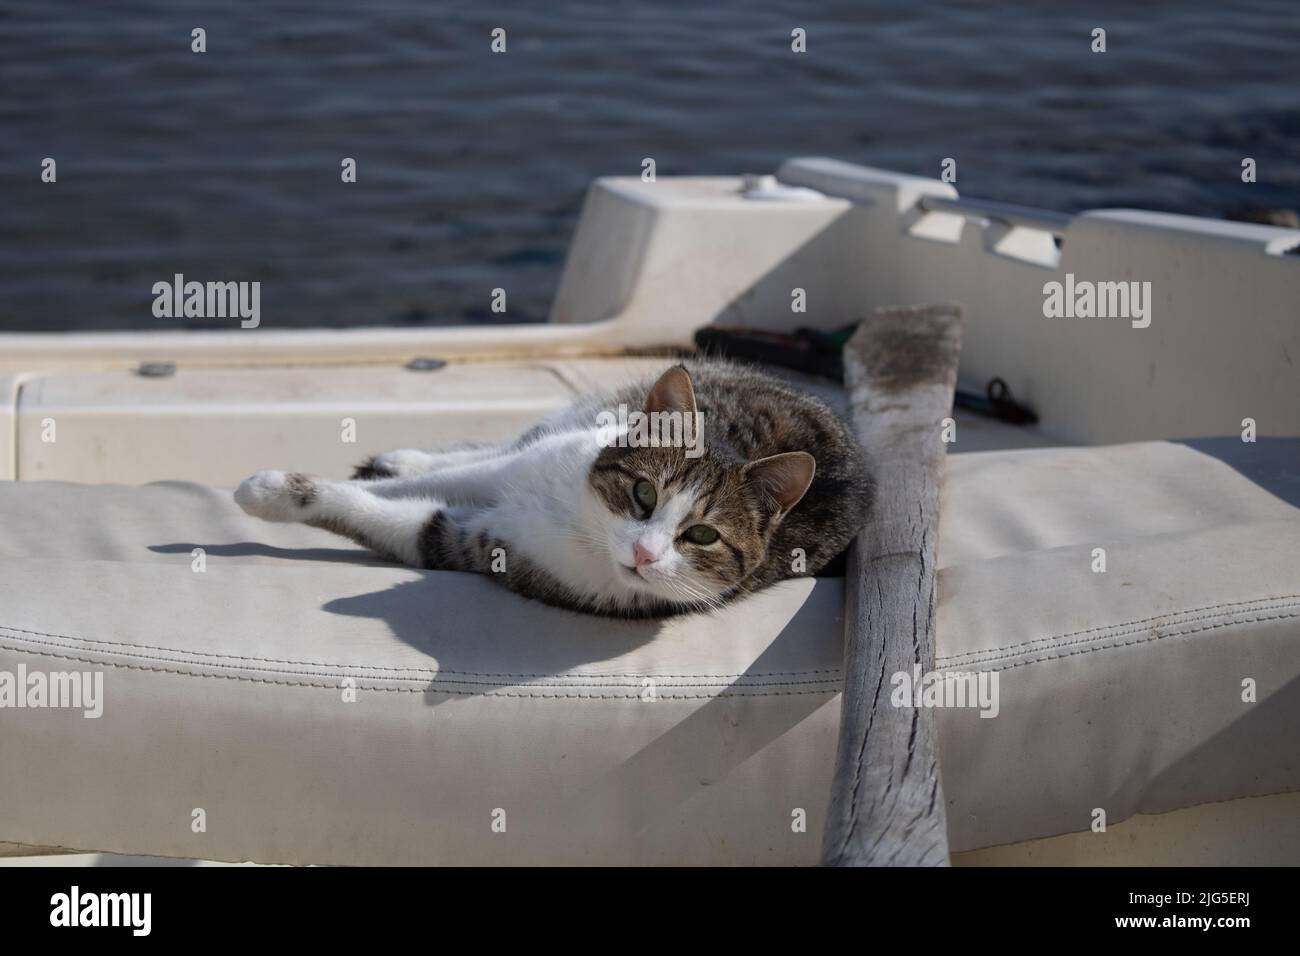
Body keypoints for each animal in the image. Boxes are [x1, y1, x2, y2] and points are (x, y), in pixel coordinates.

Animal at [239, 361, 878, 621]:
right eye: (643, 494)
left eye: (702, 535)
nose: (645, 553)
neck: (582, 520)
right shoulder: (518, 473)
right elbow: (443, 478)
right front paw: (271, 485)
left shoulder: (478, 542)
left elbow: (394, 516)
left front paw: (268, 493)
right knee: (504, 443)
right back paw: (402, 456)